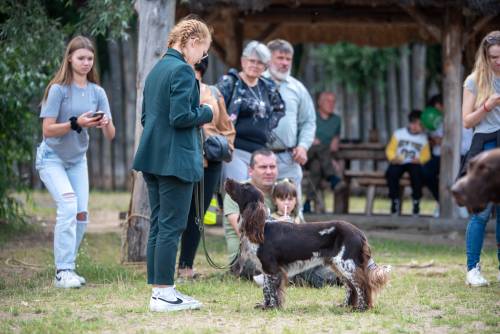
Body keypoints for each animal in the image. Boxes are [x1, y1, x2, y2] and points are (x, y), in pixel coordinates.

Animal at [225, 179, 392, 312]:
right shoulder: (267, 269)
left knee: (362, 285)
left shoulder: (272, 268)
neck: (262, 227)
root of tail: (359, 233)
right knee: (351, 287)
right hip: (338, 265)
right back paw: (345, 306)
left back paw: (362, 308)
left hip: (346, 264)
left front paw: (272, 307)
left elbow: (271, 291)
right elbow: (266, 289)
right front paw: (265, 306)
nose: (227, 179)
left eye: (245, 186)